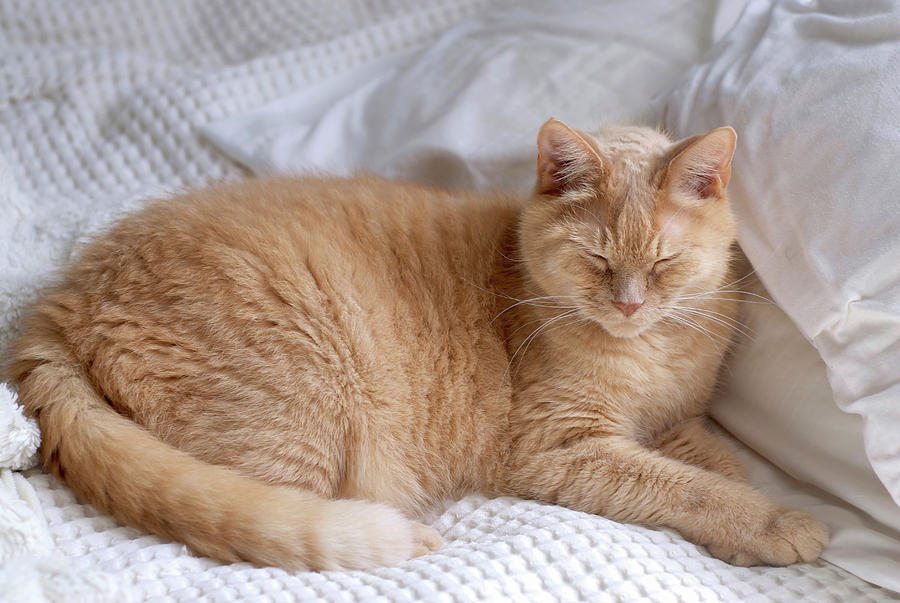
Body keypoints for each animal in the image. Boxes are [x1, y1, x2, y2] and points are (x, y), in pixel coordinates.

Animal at [3, 119, 828, 572]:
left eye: (662, 262)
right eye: (596, 259)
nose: (627, 302)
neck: (650, 353)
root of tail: (65, 296)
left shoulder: (679, 420)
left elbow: (722, 466)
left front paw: (756, 523)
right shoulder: (559, 446)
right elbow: (689, 486)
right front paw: (770, 524)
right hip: (304, 427)